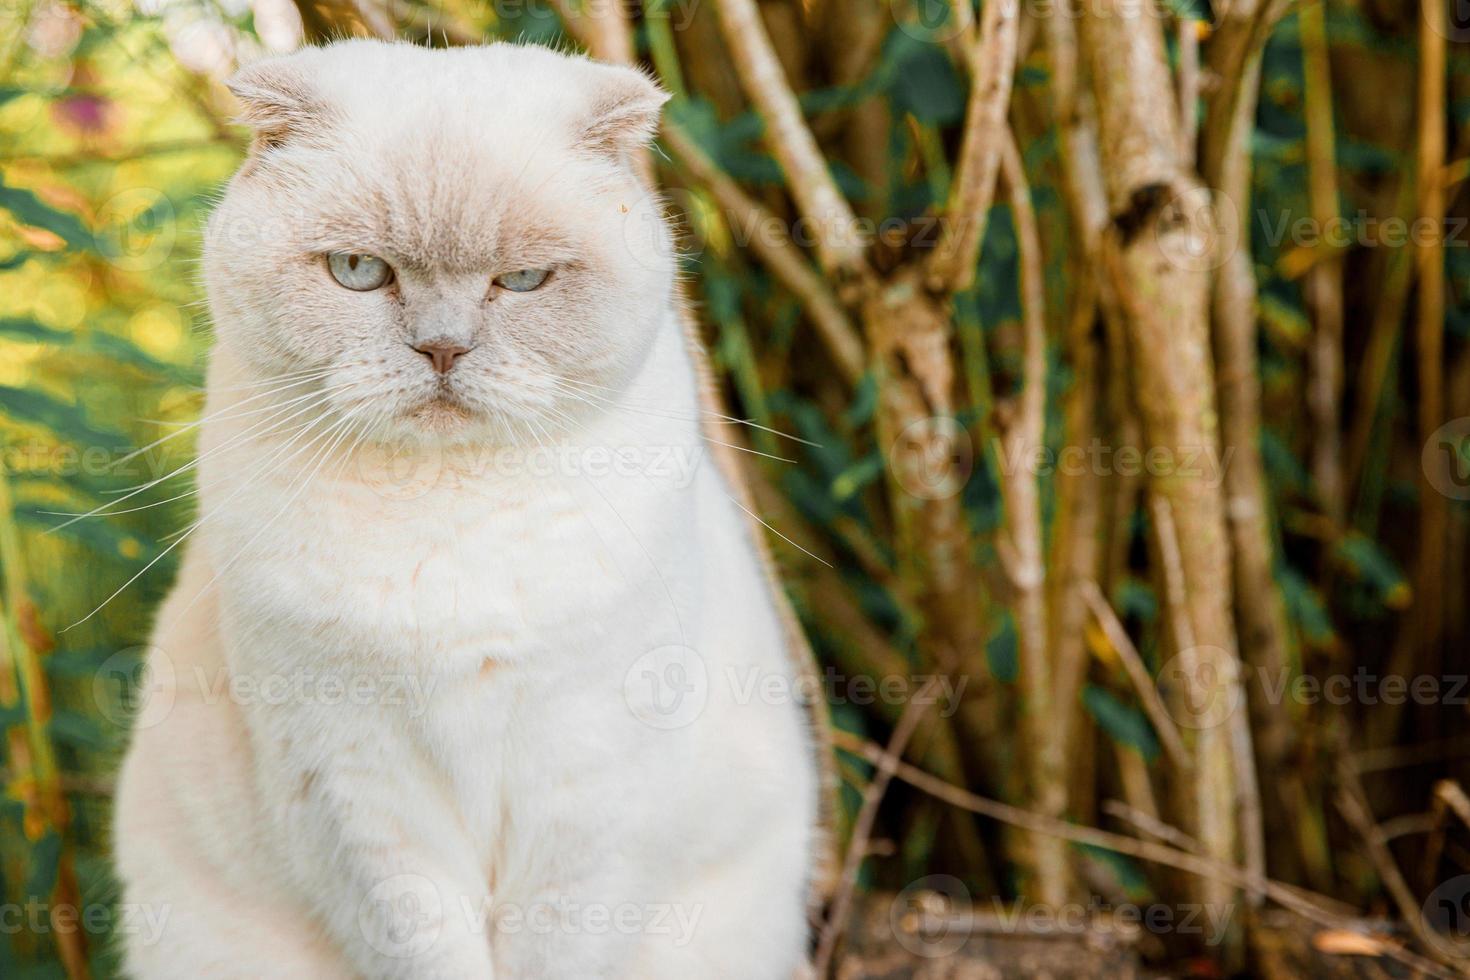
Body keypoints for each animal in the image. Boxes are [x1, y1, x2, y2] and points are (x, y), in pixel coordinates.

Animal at [111, 40, 829, 980]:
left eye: (521, 281)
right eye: (359, 273)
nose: (442, 349)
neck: (446, 515)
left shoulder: (588, 788)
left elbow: (558, 949)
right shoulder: (355, 792)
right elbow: (426, 948)